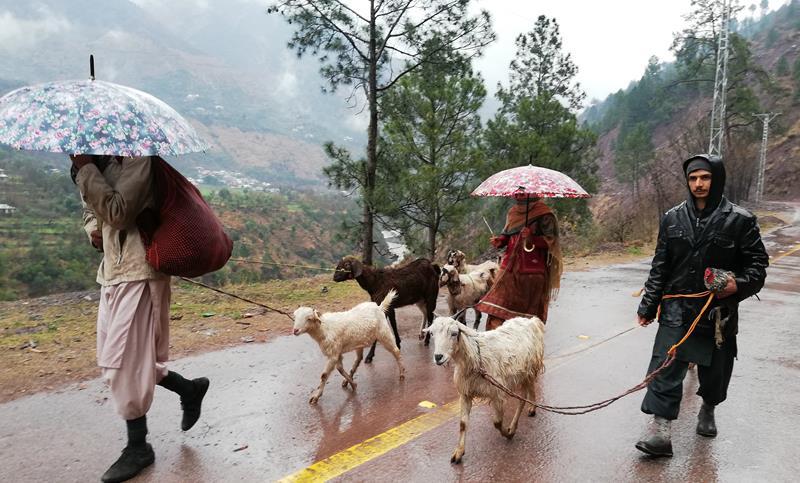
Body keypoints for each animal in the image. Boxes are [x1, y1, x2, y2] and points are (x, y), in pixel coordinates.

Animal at [424, 316, 544, 464]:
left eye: (454, 333)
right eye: (432, 333)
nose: (438, 357)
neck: (477, 358)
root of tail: (532, 320)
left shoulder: (497, 393)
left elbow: (497, 422)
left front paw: (507, 433)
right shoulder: (465, 393)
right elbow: (463, 424)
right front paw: (459, 452)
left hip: (527, 372)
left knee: (522, 399)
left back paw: (515, 425)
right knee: (529, 390)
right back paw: (532, 408)